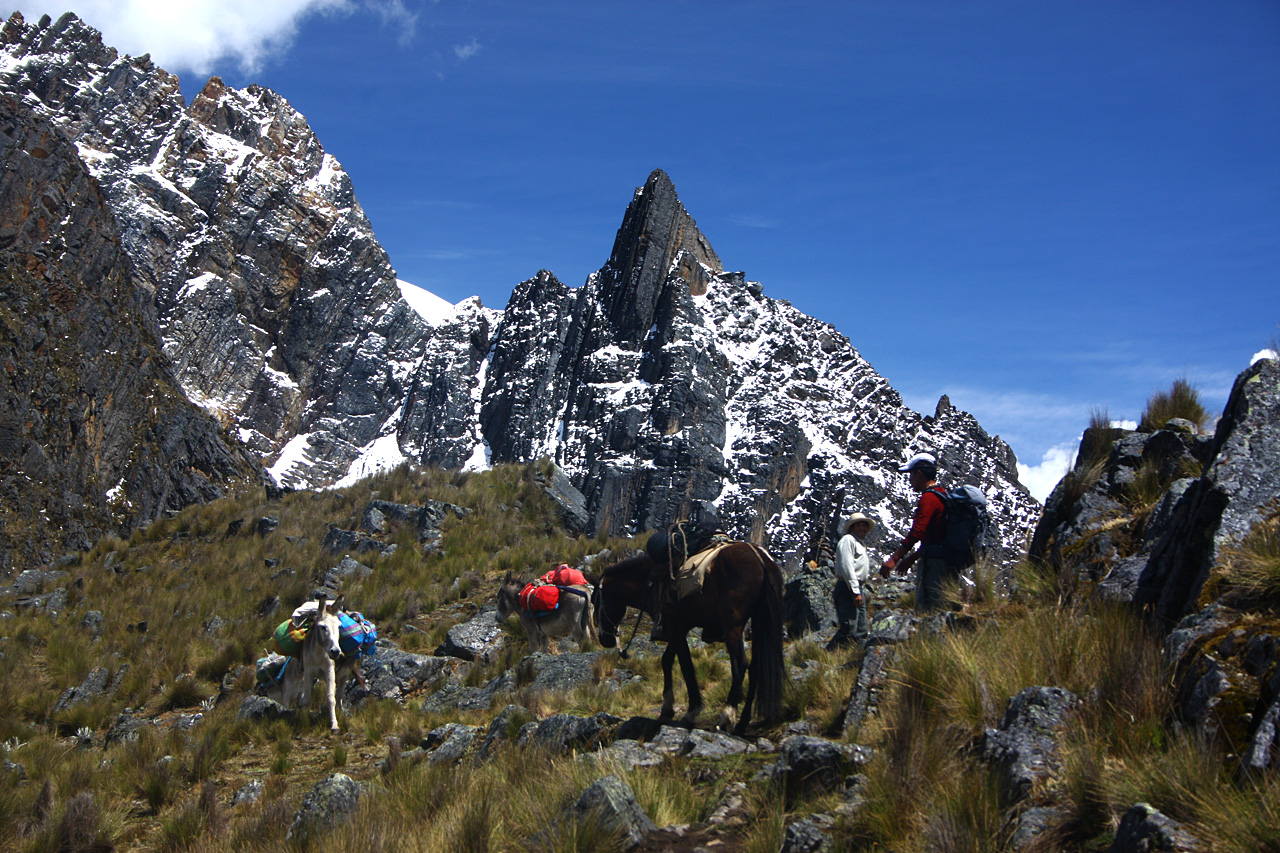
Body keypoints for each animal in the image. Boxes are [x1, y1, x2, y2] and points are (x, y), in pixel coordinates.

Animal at [593, 545, 783, 732]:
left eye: (596, 602)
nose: (605, 640)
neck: (648, 584)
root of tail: (760, 558)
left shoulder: (676, 629)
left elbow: (686, 666)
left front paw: (691, 712)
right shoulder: (677, 629)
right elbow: (667, 660)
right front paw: (667, 707)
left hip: (732, 626)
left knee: (740, 666)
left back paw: (726, 716)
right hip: (758, 622)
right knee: (756, 667)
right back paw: (742, 722)